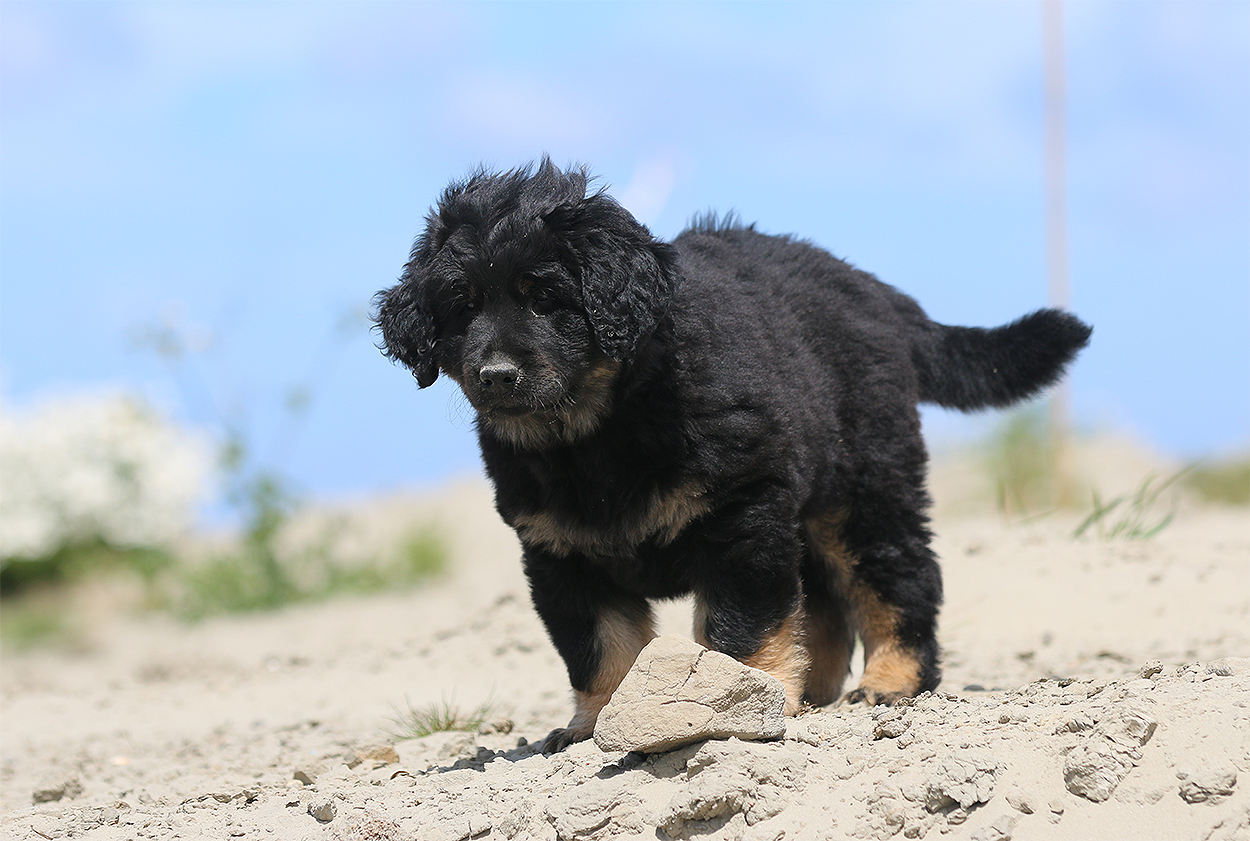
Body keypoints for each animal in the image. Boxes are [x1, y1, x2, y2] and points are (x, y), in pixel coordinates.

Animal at [374, 159, 1091, 752]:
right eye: (461, 307)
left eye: (546, 297)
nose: (495, 376)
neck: (597, 434)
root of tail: (875, 290)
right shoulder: (559, 551)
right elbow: (599, 646)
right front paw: (593, 724)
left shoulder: (741, 512)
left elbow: (738, 625)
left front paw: (737, 703)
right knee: (823, 601)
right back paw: (814, 690)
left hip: (861, 485)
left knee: (898, 574)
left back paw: (890, 681)